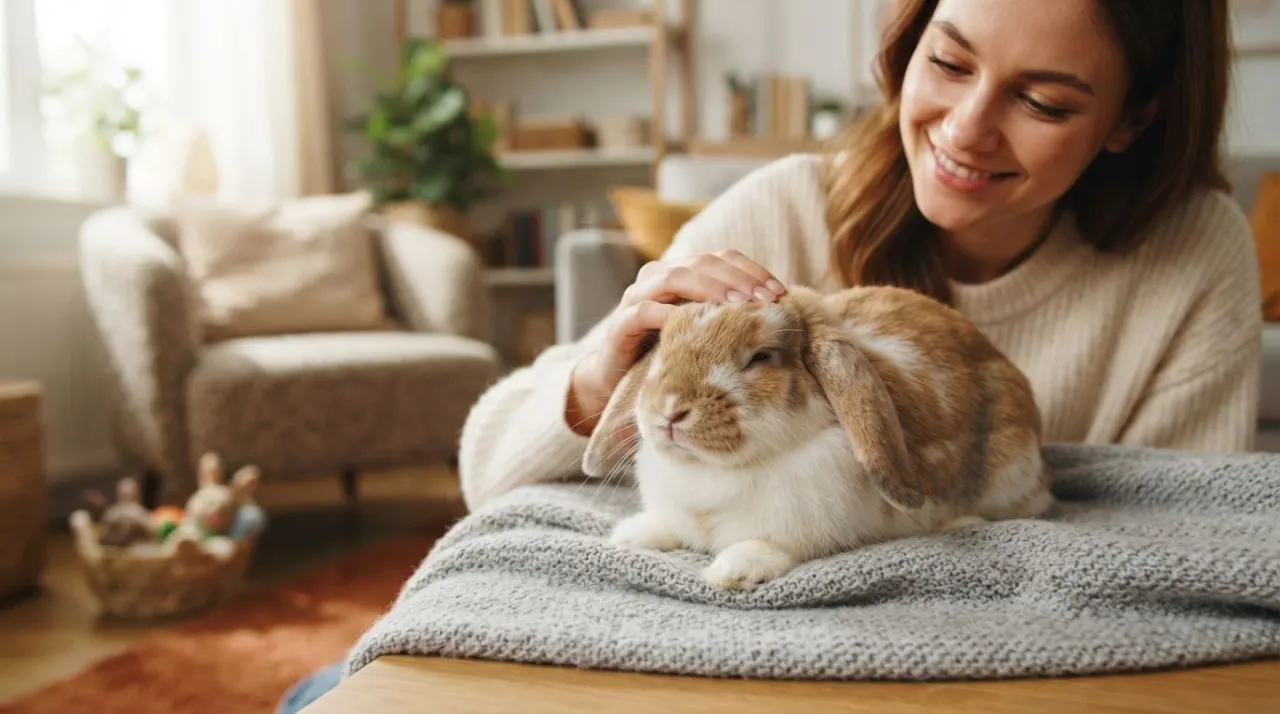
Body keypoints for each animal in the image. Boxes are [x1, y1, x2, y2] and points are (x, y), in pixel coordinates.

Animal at [581, 283, 1054, 590]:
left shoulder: (805, 523)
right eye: (661, 346)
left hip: (1010, 471)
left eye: (760, 357)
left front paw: (734, 571)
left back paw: (964, 520)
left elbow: (772, 544)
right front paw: (634, 534)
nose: (668, 409)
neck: (713, 475)